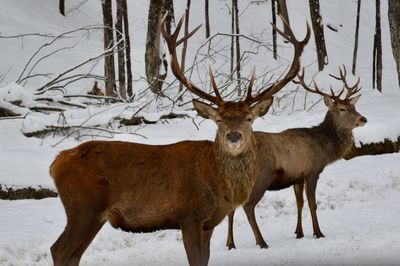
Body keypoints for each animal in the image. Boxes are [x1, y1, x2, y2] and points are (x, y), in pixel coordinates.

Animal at [49, 15, 310, 266]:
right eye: (219, 119)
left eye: (249, 118)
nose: (234, 135)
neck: (216, 182)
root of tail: (56, 163)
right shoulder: (189, 216)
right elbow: (194, 259)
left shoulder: (208, 223)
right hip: (83, 208)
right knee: (59, 250)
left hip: (91, 215)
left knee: (73, 254)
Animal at [227, 65, 368, 249]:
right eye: (342, 109)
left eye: (354, 106)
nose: (363, 118)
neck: (324, 149)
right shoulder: (312, 171)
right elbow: (312, 203)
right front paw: (318, 233)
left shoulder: (297, 177)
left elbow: (299, 203)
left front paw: (299, 232)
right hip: (261, 178)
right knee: (248, 206)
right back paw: (261, 242)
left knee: (231, 207)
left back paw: (230, 244)